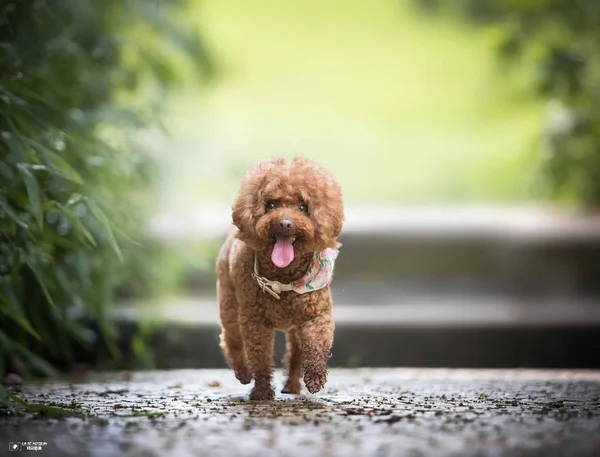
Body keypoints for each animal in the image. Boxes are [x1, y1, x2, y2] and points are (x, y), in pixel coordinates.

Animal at [218, 157, 344, 400]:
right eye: (271, 204)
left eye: (303, 207)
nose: (285, 223)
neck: (283, 278)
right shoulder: (255, 321)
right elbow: (260, 357)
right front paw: (262, 392)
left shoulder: (316, 315)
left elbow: (317, 343)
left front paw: (315, 378)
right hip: (229, 304)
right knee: (232, 340)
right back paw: (243, 372)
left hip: (295, 327)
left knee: (295, 353)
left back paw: (292, 385)